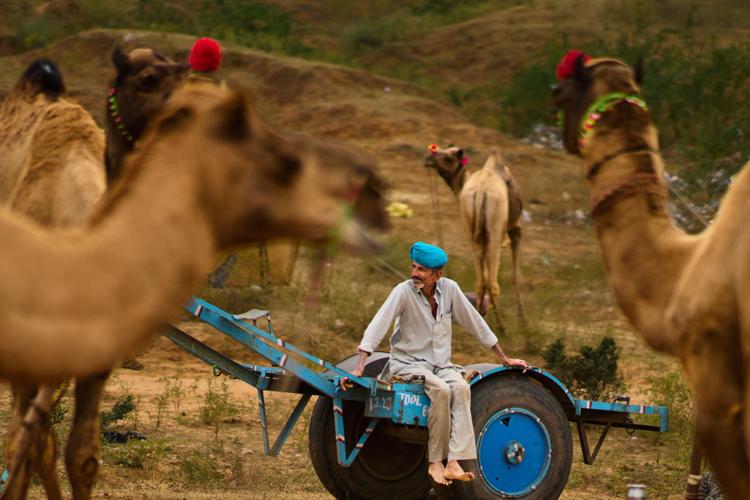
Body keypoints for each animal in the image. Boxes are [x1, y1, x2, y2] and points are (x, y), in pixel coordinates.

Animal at [424, 145, 526, 332]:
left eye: (448, 157)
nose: (428, 157)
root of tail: (481, 191)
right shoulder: (516, 229)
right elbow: (517, 278)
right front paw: (523, 321)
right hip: (494, 233)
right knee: (492, 282)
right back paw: (501, 327)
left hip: (474, 234)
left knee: (481, 281)